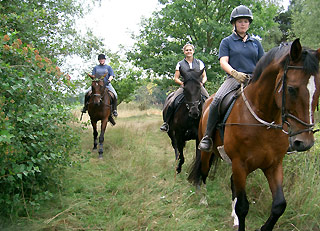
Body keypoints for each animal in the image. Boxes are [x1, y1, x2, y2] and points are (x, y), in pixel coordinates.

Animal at [188, 38, 320, 230]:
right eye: (291, 89)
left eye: (318, 90)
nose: (305, 142)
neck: (263, 120)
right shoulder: (240, 164)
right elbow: (243, 207)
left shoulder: (274, 165)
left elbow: (279, 204)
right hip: (207, 154)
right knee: (203, 174)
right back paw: (203, 200)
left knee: (232, 183)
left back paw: (233, 217)